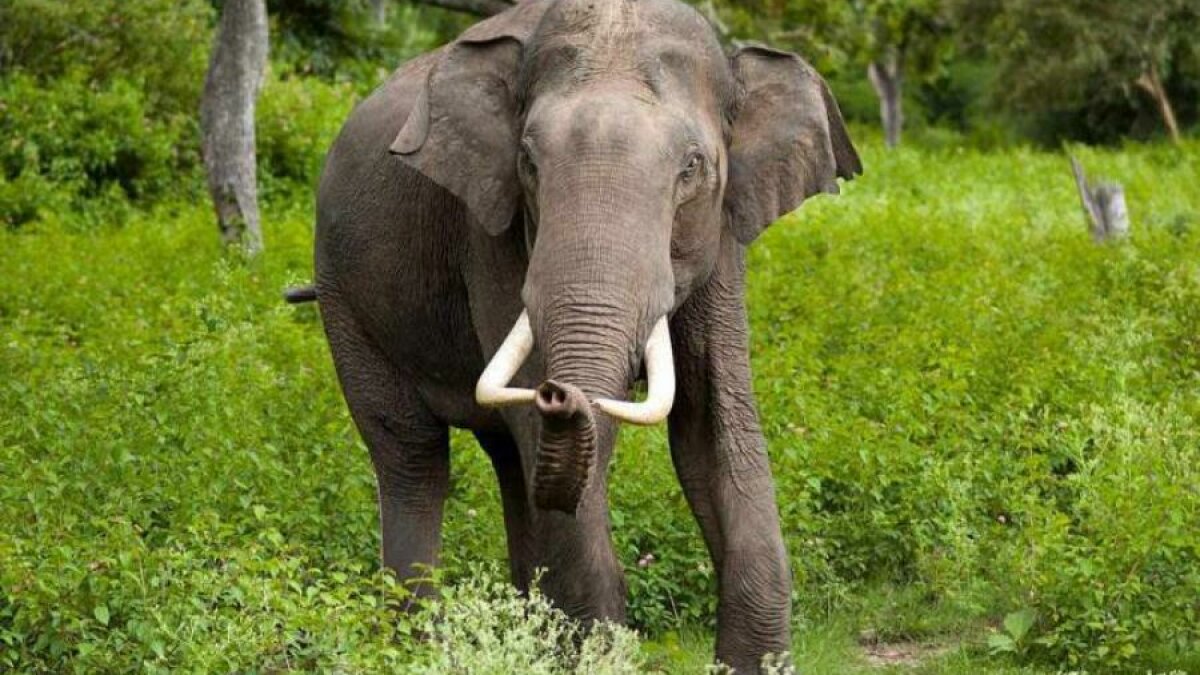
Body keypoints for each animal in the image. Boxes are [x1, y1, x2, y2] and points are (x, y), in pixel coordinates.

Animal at [304, 0, 859, 662]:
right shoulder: (489, 231)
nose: (558, 392)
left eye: (692, 167)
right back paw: (420, 649)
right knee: (413, 457)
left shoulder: (724, 235)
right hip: (343, 296)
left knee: (510, 462)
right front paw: (594, 652)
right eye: (527, 162)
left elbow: (712, 427)